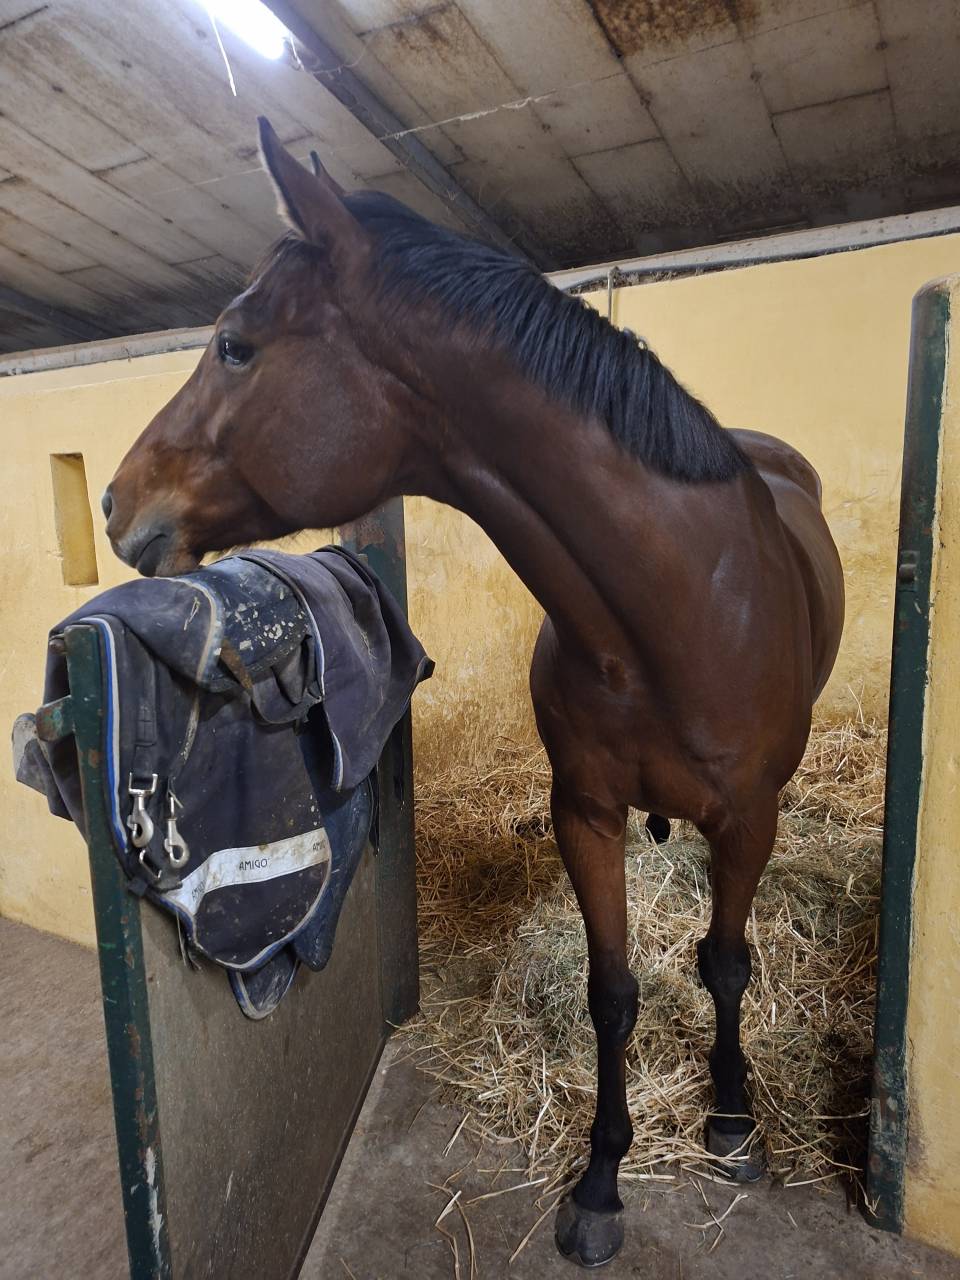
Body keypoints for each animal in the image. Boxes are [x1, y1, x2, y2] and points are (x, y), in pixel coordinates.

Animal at [102, 117, 844, 1268]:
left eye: (233, 343)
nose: (113, 501)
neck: (669, 612)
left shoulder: (747, 820)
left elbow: (725, 964)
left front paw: (731, 1122)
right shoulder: (584, 812)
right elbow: (612, 991)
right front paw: (600, 1180)